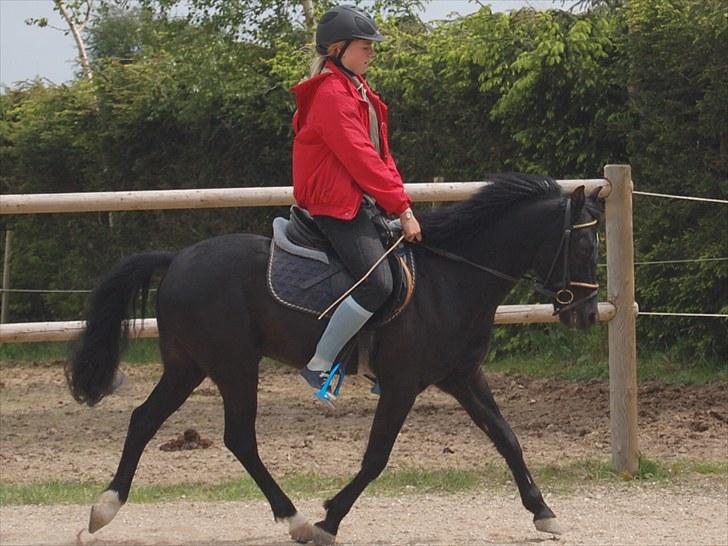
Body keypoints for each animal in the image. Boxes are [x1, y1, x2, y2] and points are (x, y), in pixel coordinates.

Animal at [66, 172, 602, 545]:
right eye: (581, 242)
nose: (588, 315)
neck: (452, 278)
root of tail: (176, 258)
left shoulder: (463, 376)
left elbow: (506, 437)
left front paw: (543, 511)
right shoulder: (403, 384)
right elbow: (376, 457)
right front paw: (330, 518)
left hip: (187, 367)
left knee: (144, 419)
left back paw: (104, 509)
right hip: (234, 367)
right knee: (238, 437)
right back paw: (297, 519)